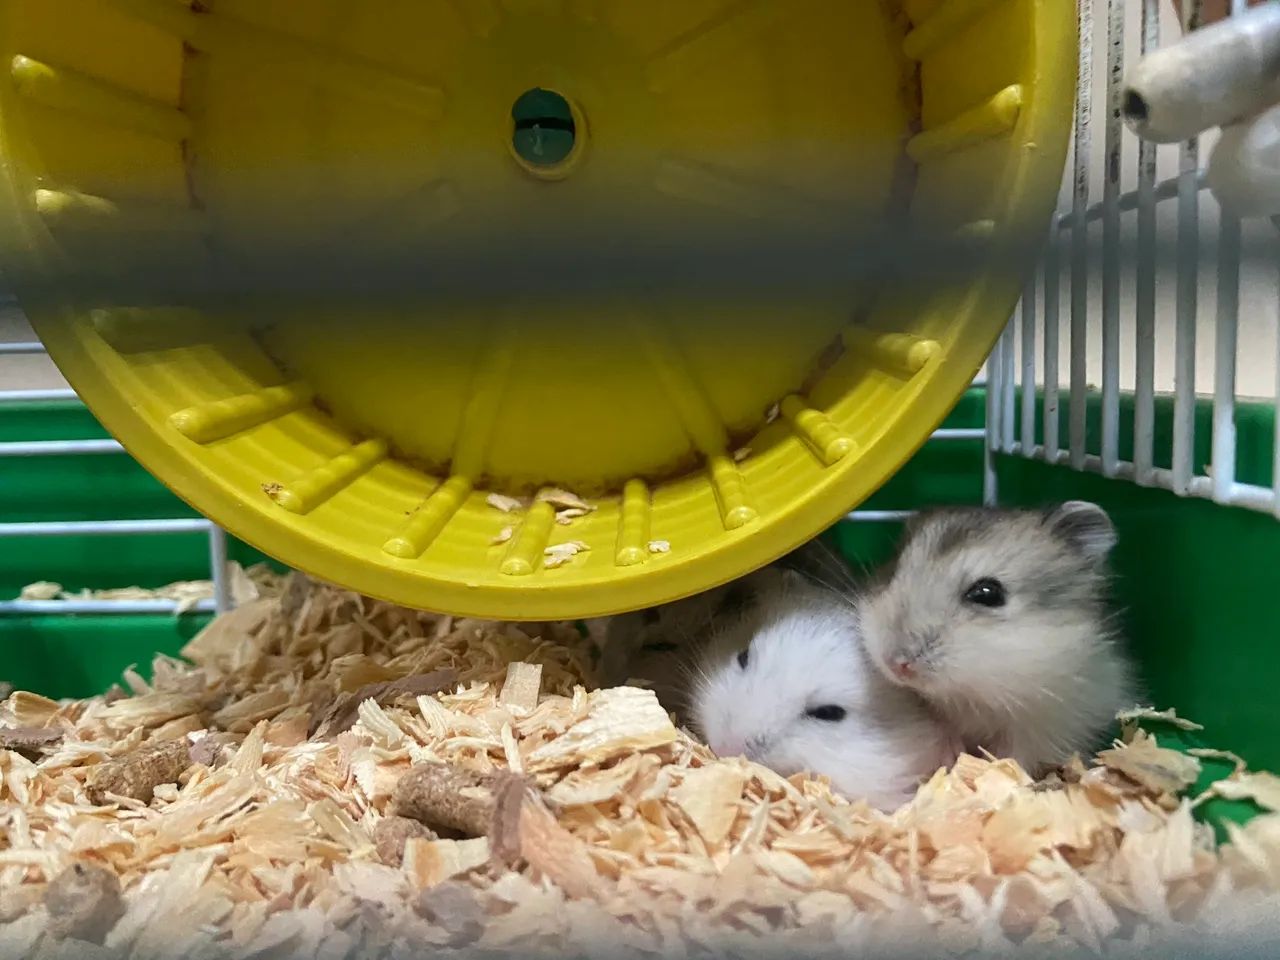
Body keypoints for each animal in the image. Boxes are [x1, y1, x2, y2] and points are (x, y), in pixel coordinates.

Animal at [858, 501, 1136, 776]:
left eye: (987, 593)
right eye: (893, 570)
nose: (897, 665)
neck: (971, 695)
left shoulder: (1044, 725)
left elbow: (1015, 755)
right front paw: (951, 755)